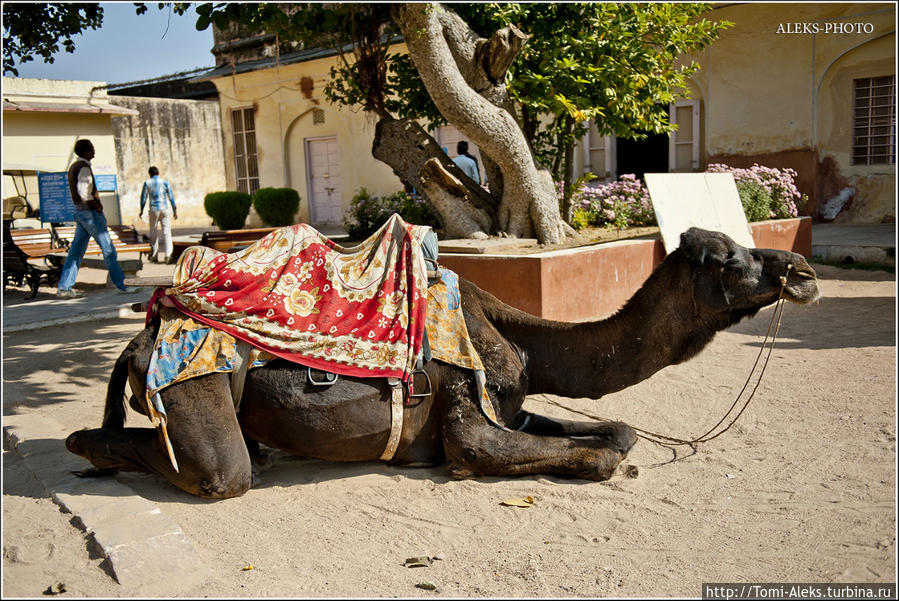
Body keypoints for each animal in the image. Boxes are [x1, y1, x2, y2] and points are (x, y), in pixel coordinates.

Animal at [65, 227, 824, 500]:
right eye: (730, 260)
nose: (803, 270)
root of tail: (143, 336)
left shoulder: (510, 402)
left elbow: (619, 431)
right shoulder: (469, 414)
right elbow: (589, 455)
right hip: (196, 383)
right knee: (216, 469)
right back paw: (93, 452)